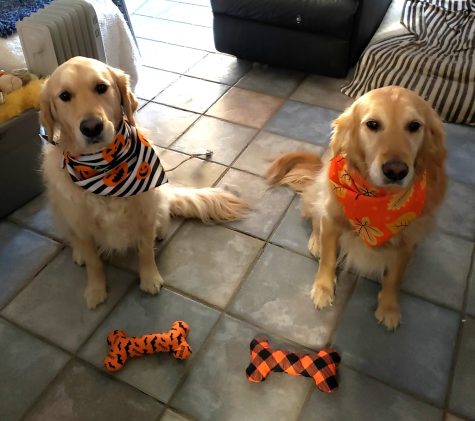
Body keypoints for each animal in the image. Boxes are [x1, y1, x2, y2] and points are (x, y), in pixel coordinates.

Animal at [40, 56, 249, 308]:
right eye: (64, 96)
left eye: (101, 87)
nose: (91, 127)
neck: (104, 167)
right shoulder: (81, 223)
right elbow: (93, 261)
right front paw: (96, 289)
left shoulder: (146, 212)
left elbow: (146, 251)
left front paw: (150, 278)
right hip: (60, 208)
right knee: (74, 237)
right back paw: (78, 252)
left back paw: (161, 230)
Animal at [268, 85, 446, 328]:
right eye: (373, 124)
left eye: (414, 126)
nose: (396, 170)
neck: (375, 200)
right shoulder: (332, 218)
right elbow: (328, 258)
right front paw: (323, 289)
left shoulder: (408, 240)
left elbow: (395, 277)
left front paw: (389, 307)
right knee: (314, 219)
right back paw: (315, 241)